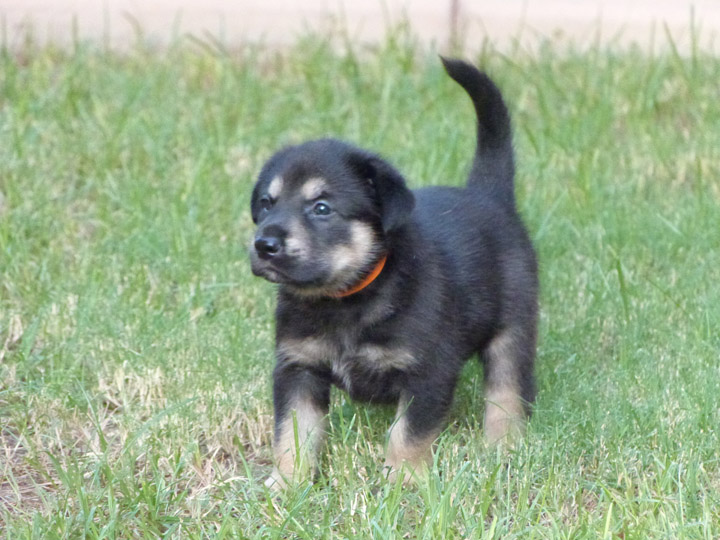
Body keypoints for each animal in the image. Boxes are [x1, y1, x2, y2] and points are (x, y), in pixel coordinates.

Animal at [250, 57, 536, 488]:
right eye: (267, 204)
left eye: (321, 208)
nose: (264, 244)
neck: (345, 299)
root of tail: (488, 195)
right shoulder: (297, 368)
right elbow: (293, 431)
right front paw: (286, 483)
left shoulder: (428, 372)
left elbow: (408, 433)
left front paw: (401, 480)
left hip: (513, 328)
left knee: (506, 390)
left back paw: (503, 445)